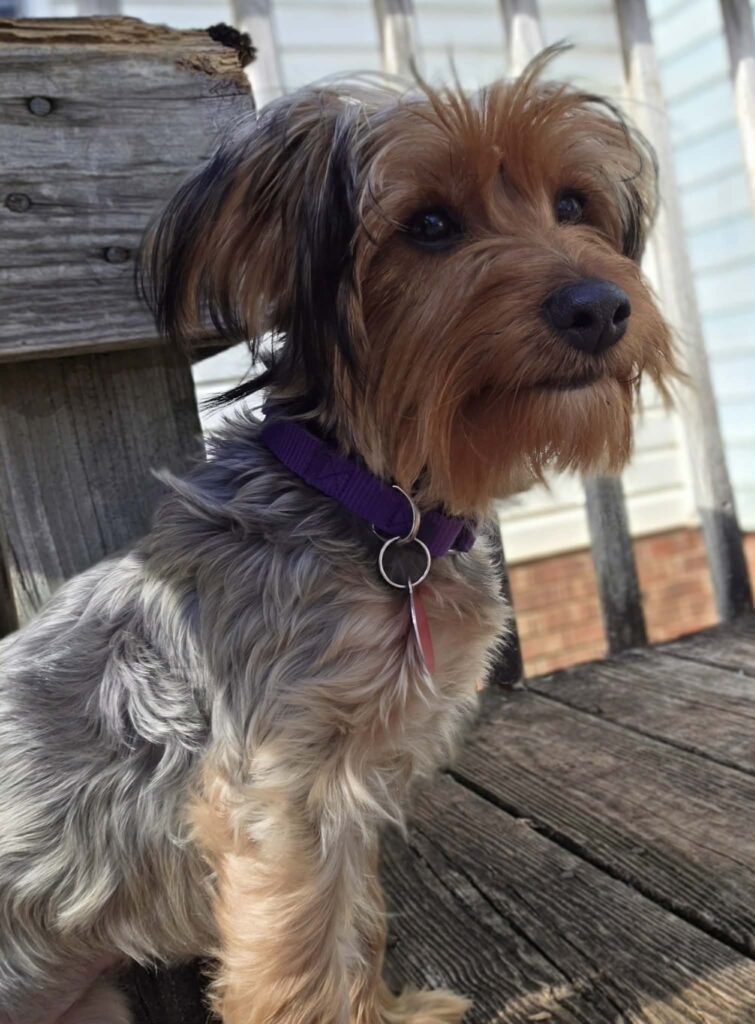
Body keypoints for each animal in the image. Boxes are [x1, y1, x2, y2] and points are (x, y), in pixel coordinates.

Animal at [0, 51, 675, 1024]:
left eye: (573, 204)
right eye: (428, 225)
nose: (599, 307)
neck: (379, 508)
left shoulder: (348, 785)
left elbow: (354, 918)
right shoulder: (280, 783)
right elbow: (303, 949)